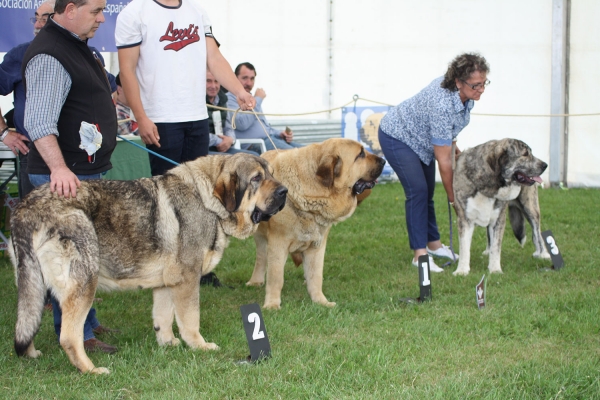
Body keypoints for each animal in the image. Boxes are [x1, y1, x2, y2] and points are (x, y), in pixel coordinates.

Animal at [10, 154, 288, 376]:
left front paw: (168, 343)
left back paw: (32, 354)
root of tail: (26, 207)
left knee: (27, 321)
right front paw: (199, 345)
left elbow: (163, 318)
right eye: (256, 178)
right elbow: (190, 319)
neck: (207, 198)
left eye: (272, 174)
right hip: (83, 283)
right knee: (68, 337)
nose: (284, 192)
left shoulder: (166, 283)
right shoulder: (188, 279)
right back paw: (91, 370)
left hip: (33, 284)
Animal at [246, 138, 386, 310]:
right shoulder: (278, 245)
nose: (383, 160)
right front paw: (272, 304)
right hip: (261, 238)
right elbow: (276, 277)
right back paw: (256, 281)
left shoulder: (317, 246)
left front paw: (321, 301)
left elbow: (316, 276)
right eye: (360, 154)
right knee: (261, 258)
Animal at [452, 138, 552, 276]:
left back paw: (543, 254)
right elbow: (464, 248)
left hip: (530, 207)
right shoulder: (464, 219)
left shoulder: (499, 219)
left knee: (536, 232)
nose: (545, 165)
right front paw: (462, 270)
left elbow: (496, 247)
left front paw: (494, 270)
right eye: (525, 154)